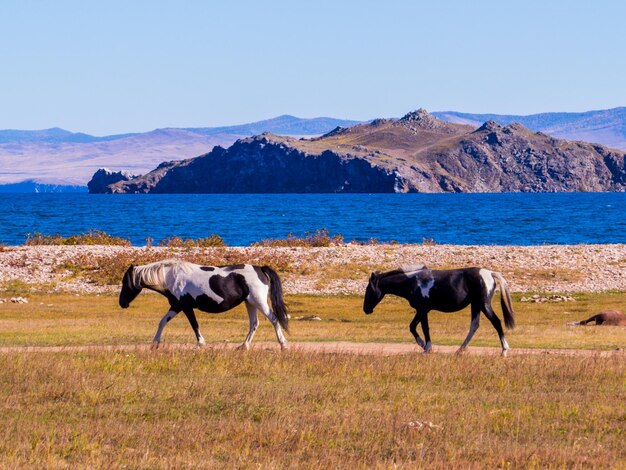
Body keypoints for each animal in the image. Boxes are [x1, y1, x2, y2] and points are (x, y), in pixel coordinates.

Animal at [118, 258, 288, 350]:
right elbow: (162, 322)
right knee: (254, 323)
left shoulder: (184, 307)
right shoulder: (176, 306)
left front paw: (201, 344)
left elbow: (194, 325)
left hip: (259, 301)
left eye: (125, 283)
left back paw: (283, 345)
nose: (122, 303)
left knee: (274, 319)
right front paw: (154, 344)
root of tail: (260, 269)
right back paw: (243, 347)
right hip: (250, 302)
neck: (171, 277)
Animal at [364, 266, 516, 354]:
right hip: (476, 305)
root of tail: (490, 273)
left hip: (484, 304)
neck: (412, 283)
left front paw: (425, 347)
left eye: (369, 290)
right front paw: (424, 346)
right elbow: (416, 327)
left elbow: (420, 327)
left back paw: (504, 350)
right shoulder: (422, 311)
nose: (366, 309)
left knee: (496, 322)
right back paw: (459, 350)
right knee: (474, 325)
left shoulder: (422, 310)